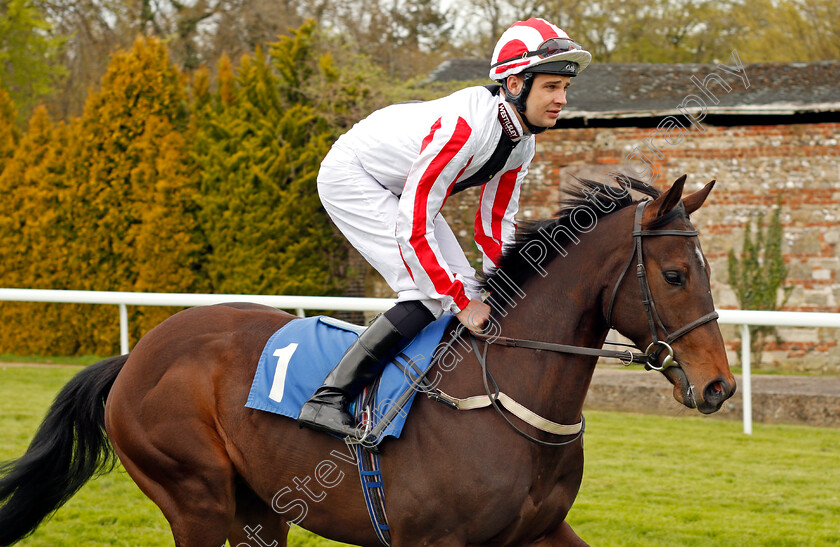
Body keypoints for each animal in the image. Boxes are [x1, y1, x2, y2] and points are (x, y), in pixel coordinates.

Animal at [0, 177, 736, 547]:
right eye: (675, 275)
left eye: (707, 269)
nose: (719, 387)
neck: (505, 397)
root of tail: (134, 356)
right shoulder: (432, 543)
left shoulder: (540, 531)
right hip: (194, 498)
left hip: (259, 507)